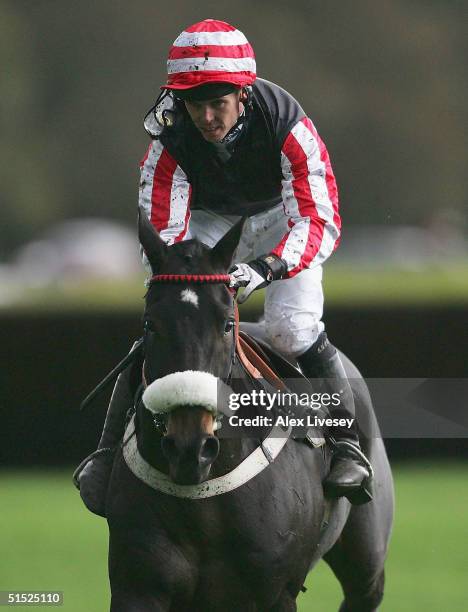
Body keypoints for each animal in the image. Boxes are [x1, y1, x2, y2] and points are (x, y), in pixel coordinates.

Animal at [104, 212, 394, 612]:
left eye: (227, 323)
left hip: (366, 562)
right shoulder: (138, 588)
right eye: (150, 324)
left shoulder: (274, 593)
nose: (190, 445)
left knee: (296, 330)